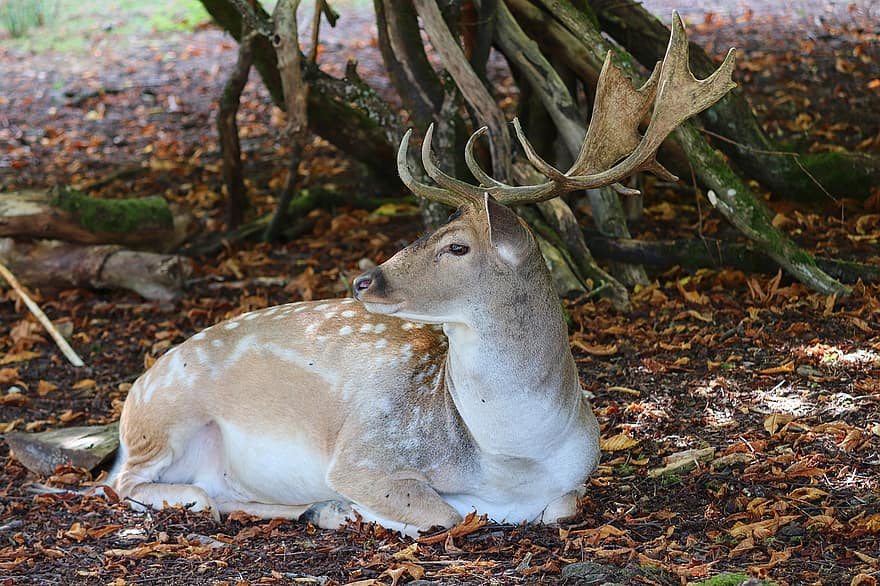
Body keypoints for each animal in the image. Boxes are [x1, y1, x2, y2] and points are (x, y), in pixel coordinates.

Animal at [110, 12, 736, 532]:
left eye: (456, 246)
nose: (364, 280)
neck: (511, 457)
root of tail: (133, 393)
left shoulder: (574, 481)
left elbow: (557, 506)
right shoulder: (365, 453)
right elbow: (441, 513)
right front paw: (353, 508)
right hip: (166, 418)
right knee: (127, 485)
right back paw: (308, 506)